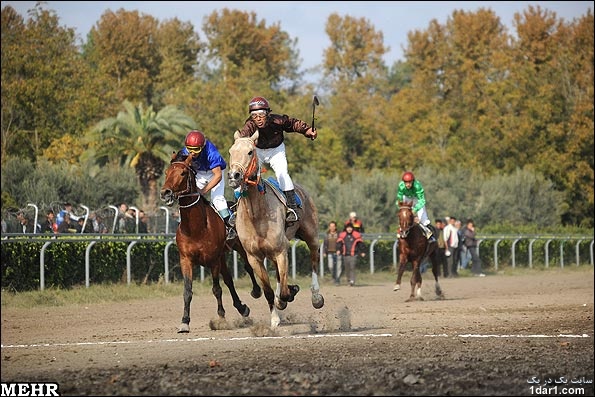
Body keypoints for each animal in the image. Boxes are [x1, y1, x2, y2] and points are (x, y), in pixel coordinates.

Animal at [159, 151, 262, 332]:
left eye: (182, 173)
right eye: (166, 172)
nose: (165, 192)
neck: (195, 229)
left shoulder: (213, 260)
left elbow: (216, 289)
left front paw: (220, 318)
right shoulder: (186, 260)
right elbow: (188, 291)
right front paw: (184, 321)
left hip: (239, 248)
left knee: (248, 268)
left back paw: (255, 291)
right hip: (222, 257)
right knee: (229, 280)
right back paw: (241, 307)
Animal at [227, 130, 326, 328]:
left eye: (250, 152)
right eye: (231, 151)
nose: (234, 176)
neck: (256, 214)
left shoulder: (281, 250)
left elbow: (285, 290)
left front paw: (290, 292)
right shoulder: (254, 257)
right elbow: (268, 290)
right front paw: (274, 318)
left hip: (311, 235)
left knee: (313, 260)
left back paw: (316, 296)